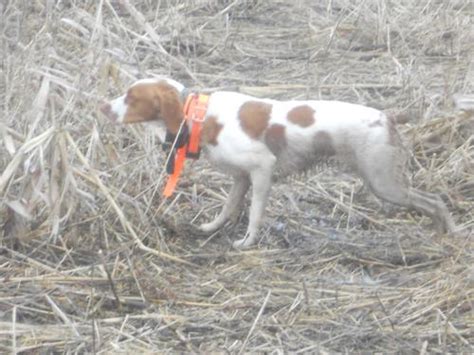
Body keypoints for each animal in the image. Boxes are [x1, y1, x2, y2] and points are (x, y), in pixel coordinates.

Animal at [100, 76, 456, 249]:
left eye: (130, 97)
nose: (103, 106)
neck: (201, 115)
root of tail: (387, 116)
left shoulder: (262, 169)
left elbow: (254, 214)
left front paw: (247, 242)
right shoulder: (241, 178)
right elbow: (228, 208)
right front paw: (211, 228)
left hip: (384, 182)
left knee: (435, 201)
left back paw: (446, 233)